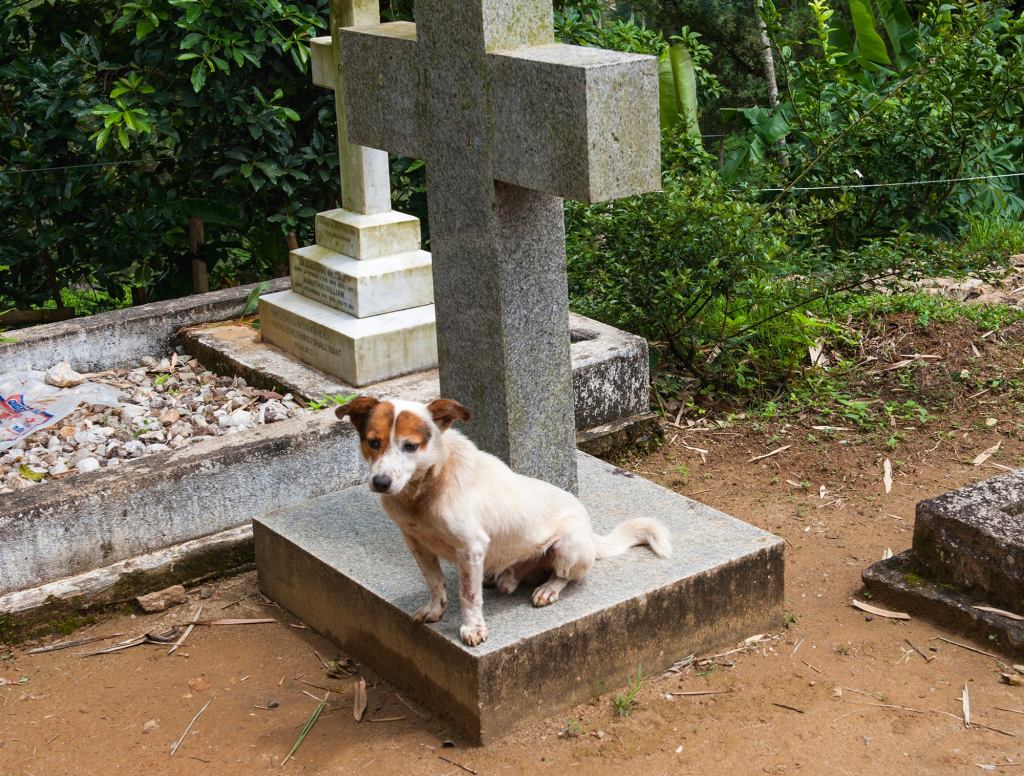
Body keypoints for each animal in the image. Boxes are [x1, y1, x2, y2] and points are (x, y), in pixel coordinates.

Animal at [335, 397, 671, 647]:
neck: (425, 491)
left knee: (565, 576)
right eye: (373, 442)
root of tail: (591, 533)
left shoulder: (471, 546)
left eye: (410, 446)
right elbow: (434, 582)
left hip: (569, 545)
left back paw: (547, 589)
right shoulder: (417, 543)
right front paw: (434, 609)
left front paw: (472, 628)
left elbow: (468, 596)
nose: (380, 482)